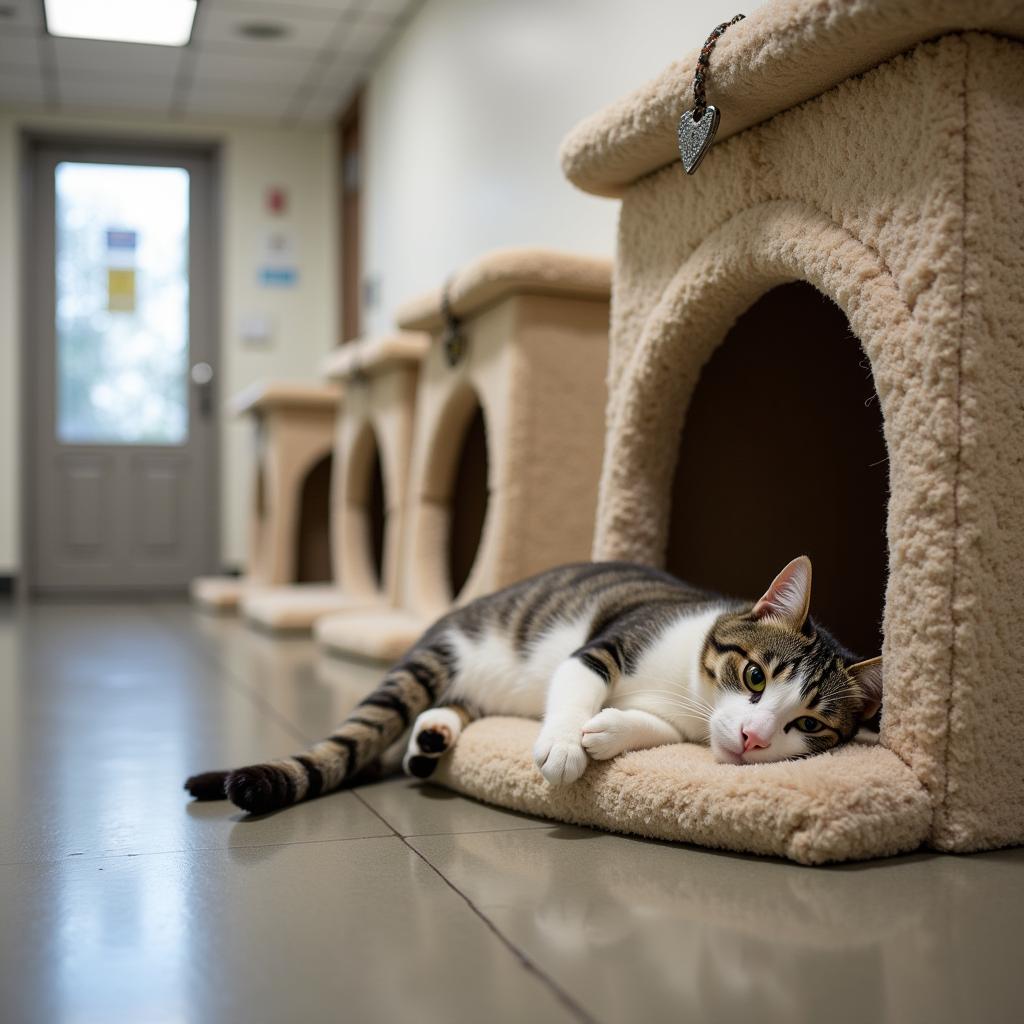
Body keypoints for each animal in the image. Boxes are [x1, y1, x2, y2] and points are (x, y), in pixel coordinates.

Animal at [188, 557, 884, 811]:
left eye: (808, 725)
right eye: (755, 675)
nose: (754, 738)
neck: (690, 689)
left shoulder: (686, 720)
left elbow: (651, 725)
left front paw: (607, 732)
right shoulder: (605, 644)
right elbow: (577, 685)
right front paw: (567, 745)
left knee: (446, 711)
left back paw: (431, 739)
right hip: (433, 659)